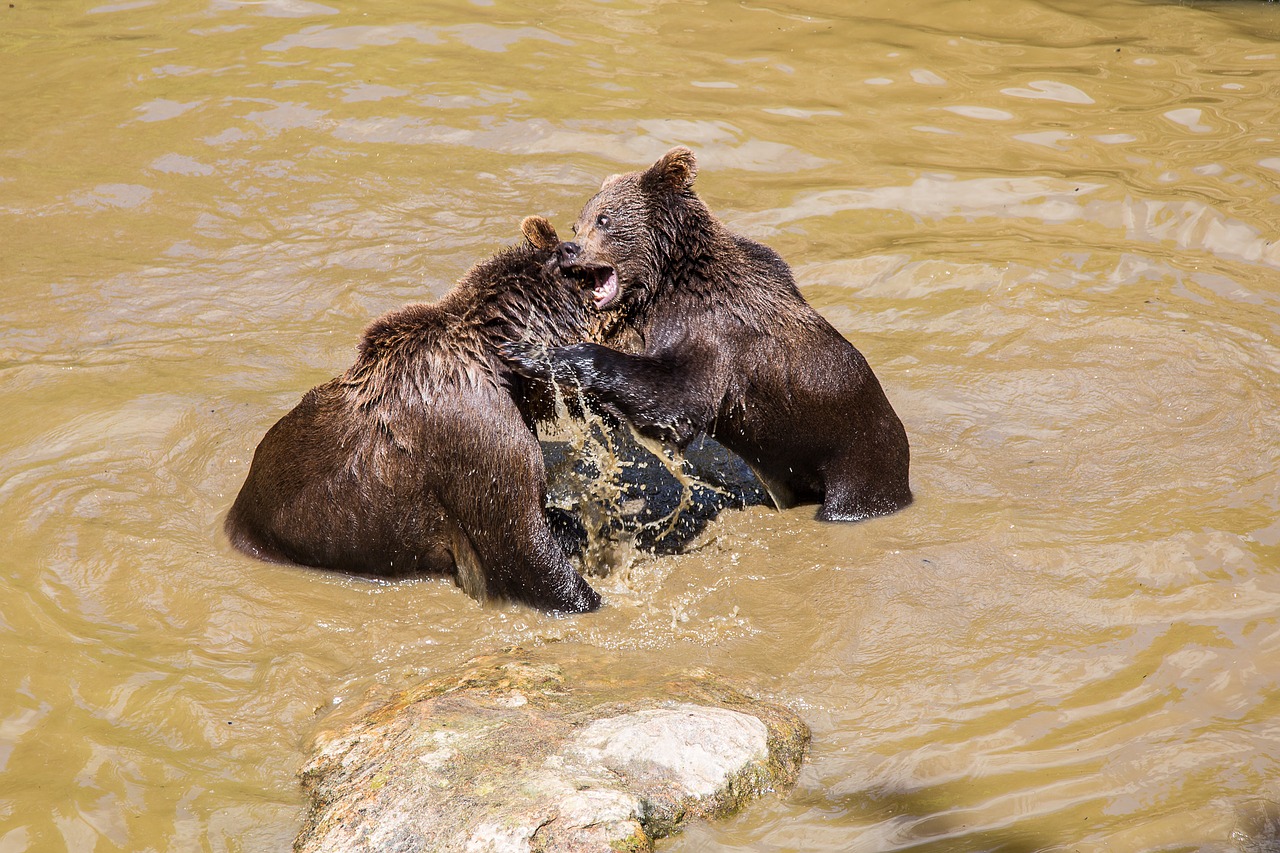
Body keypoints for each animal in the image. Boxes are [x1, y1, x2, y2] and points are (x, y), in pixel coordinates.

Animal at [504, 147, 916, 517]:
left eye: (604, 219)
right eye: (579, 223)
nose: (568, 249)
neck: (665, 280)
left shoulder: (711, 330)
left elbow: (677, 399)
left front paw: (530, 353)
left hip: (858, 456)